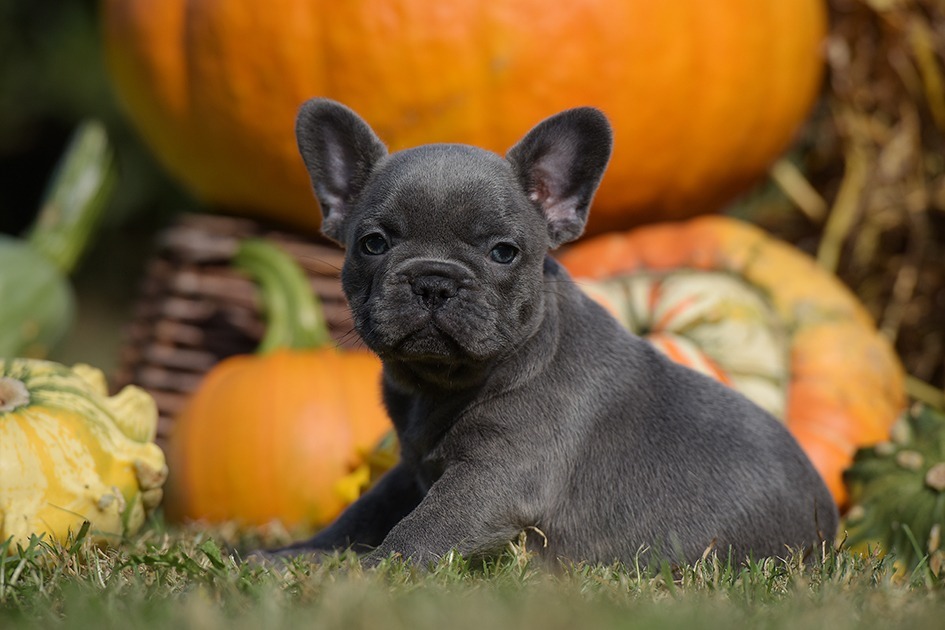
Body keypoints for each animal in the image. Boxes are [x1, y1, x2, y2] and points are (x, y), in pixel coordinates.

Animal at [274, 97, 840, 568]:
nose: (433, 281)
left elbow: (424, 529)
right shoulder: (408, 470)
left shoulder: (495, 475)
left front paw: (370, 575)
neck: (440, 383)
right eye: (372, 243)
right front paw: (294, 557)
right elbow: (361, 514)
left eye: (503, 252)